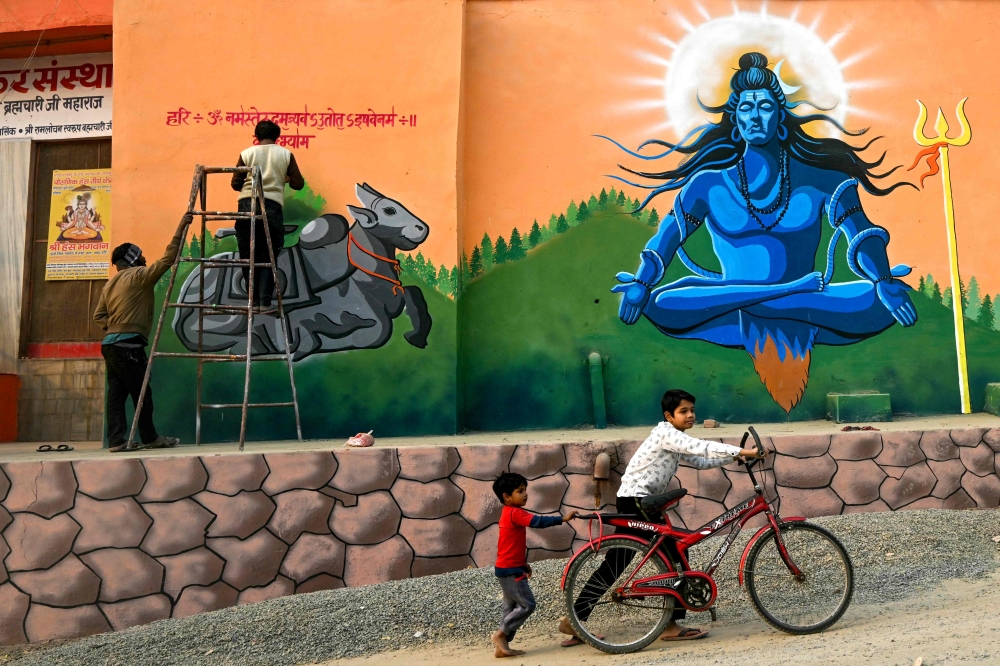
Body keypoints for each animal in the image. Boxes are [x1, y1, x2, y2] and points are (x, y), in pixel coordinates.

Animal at [172, 182, 430, 360]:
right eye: (389, 210)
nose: (423, 228)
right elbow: (377, 331)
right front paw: (317, 343)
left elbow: (415, 294)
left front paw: (416, 337)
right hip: (226, 318)